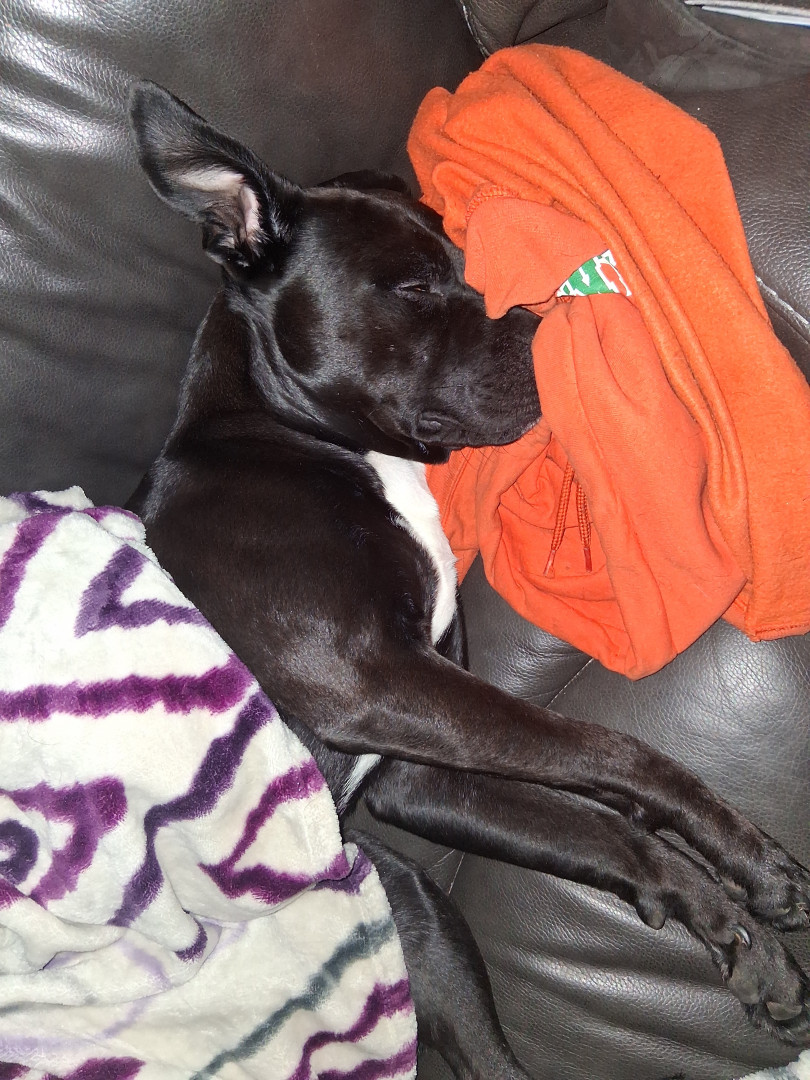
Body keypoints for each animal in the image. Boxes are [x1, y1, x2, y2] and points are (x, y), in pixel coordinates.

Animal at [127, 82, 810, 1073]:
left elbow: (598, 820)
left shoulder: (420, 775)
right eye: (414, 287)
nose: (547, 325)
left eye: (465, 262)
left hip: (421, 915)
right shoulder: (375, 684)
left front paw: (741, 937)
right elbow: (616, 752)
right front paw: (747, 861)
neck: (290, 438)